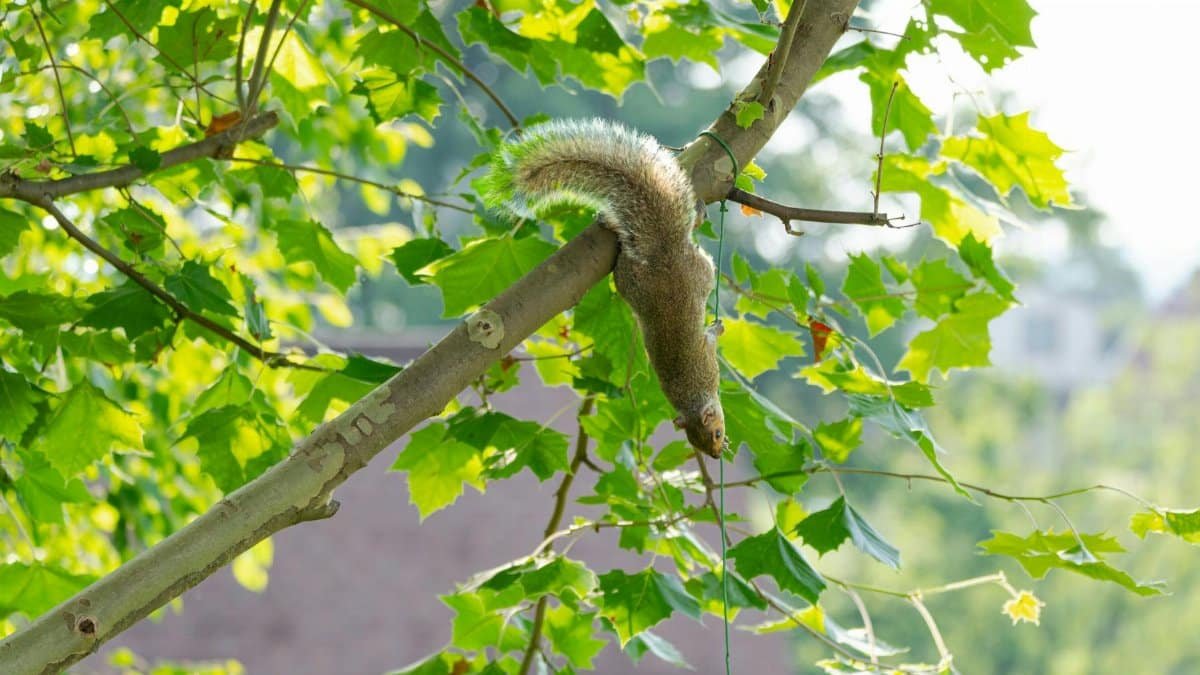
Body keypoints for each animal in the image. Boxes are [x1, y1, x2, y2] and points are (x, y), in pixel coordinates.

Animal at [481, 118, 727, 458]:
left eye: (716, 433)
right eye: (698, 441)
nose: (716, 454)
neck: (692, 397)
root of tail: (662, 252)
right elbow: (709, 340)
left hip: (660, 276)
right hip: (676, 275)